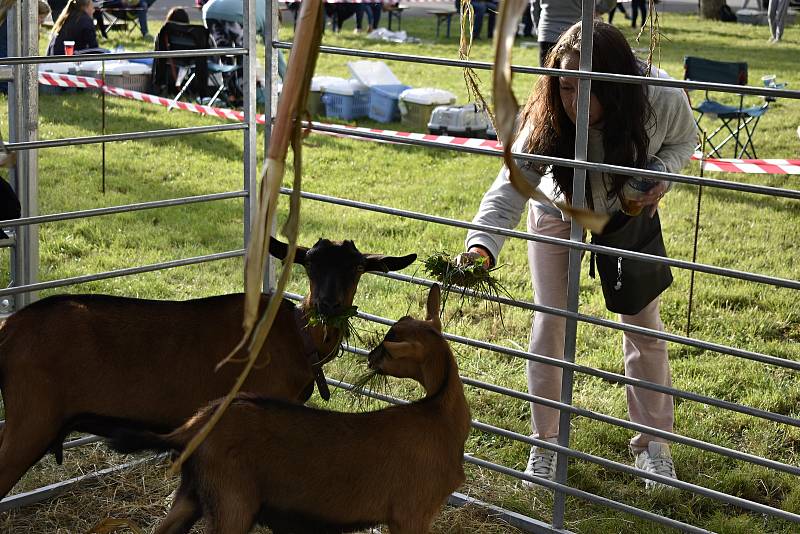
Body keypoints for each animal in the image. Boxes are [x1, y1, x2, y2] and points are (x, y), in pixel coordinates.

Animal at [0, 239, 416, 502]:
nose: (328, 305)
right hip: (31, 418)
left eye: (358, 267)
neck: (297, 336)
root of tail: (10, 328)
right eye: (309, 262)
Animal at [111, 286, 476, 534]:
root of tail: (193, 427)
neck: (439, 416)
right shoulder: (410, 514)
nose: (371, 357)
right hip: (233, 501)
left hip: (193, 493)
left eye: (389, 346)